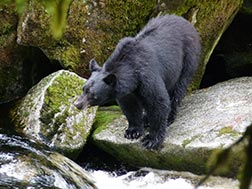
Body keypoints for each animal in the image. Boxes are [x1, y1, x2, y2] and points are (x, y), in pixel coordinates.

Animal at [74, 14, 201, 149]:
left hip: (188, 58)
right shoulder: (126, 91)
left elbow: (158, 101)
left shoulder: (147, 76)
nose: (77, 104)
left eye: (93, 94)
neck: (132, 73)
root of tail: (186, 22)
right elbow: (130, 107)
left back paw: (170, 116)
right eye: (83, 89)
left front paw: (152, 139)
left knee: (179, 88)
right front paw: (133, 131)